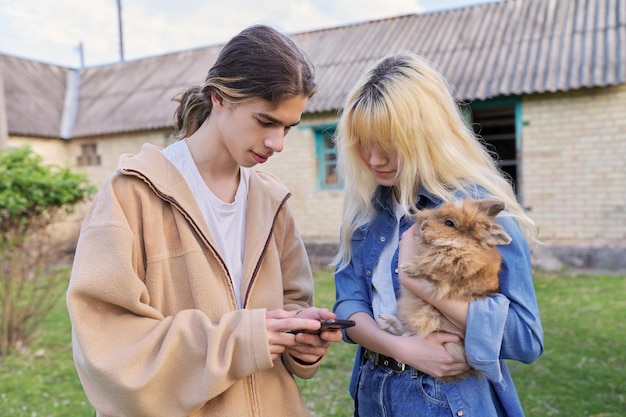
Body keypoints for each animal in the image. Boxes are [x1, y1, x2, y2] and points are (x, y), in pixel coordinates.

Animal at [376, 198, 512, 380]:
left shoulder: (453, 267)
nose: (423, 226)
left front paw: (408, 268)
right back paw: (385, 321)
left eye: (449, 223)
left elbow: (433, 268)